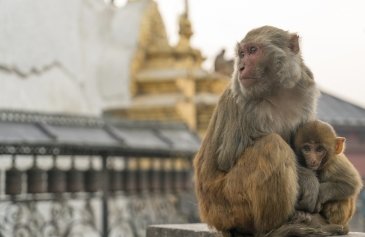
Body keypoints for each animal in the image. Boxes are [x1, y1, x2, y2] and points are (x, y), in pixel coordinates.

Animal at [192, 25, 336, 235]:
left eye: (252, 51)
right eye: (242, 53)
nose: (241, 67)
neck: (276, 92)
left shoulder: (306, 90)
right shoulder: (242, 101)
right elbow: (227, 158)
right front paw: (309, 180)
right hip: (226, 204)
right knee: (272, 146)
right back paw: (275, 228)